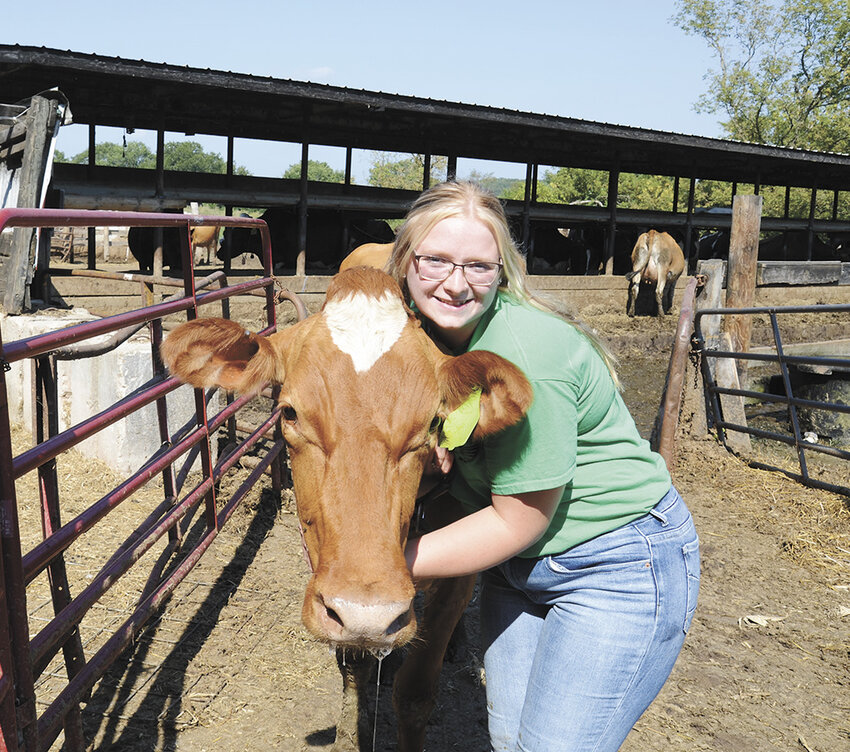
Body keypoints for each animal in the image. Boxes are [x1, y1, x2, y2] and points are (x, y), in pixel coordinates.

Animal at [159, 268, 528, 748]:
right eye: (290, 413)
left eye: (434, 423)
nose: (368, 614)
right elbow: (354, 667)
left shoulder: (459, 576)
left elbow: (415, 694)